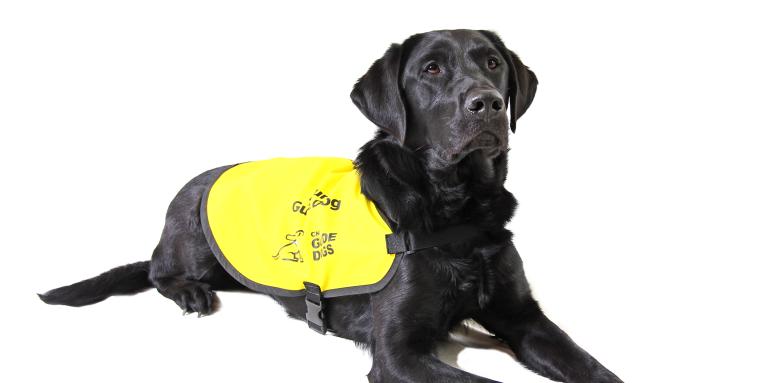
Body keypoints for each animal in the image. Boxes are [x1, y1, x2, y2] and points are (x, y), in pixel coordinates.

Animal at [37, 30, 624, 383]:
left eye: (494, 63)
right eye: (431, 70)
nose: (489, 103)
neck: (458, 211)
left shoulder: (523, 317)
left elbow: (592, 367)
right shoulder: (399, 354)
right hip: (191, 244)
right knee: (158, 270)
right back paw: (190, 293)